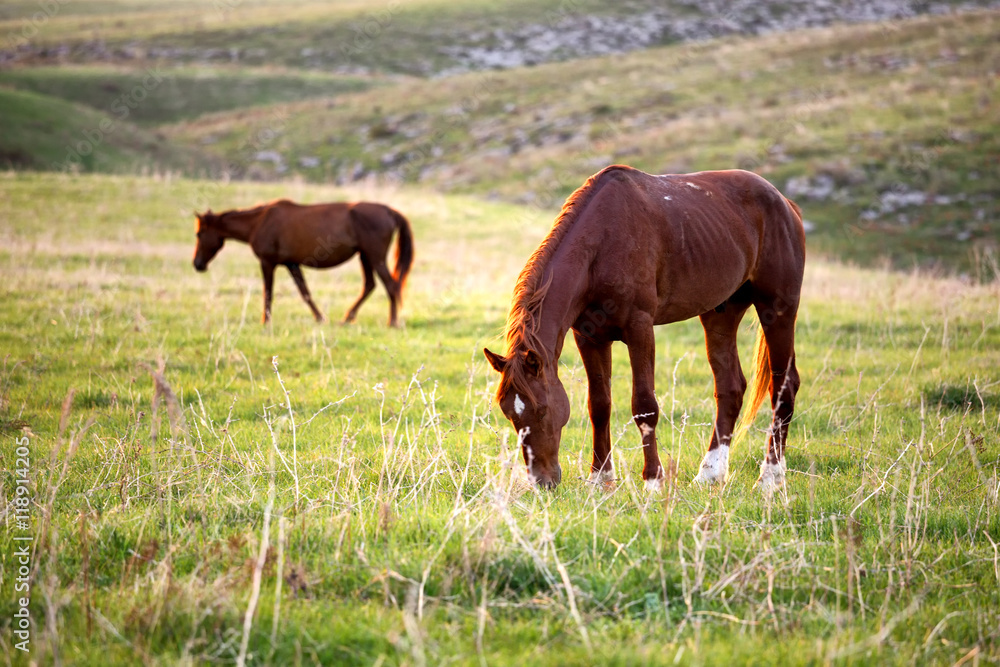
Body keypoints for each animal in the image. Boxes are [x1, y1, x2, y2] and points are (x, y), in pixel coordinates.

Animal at [193, 200, 412, 328]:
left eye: (199, 233)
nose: (197, 264)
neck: (259, 222)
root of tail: (389, 211)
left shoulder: (267, 263)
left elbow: (268, 293)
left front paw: (266, 321)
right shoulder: (292, 264)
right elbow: (304, 292)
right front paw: (320, 318)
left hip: (374, 257)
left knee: (390, 285)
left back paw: (392, 322)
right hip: (365, 256)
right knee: (370, 285)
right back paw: (347, 318)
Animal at [484, 164, 804, 494]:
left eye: (542, 410)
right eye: (509, 414)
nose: (542, 482)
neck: (601, 244)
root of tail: (784, 203)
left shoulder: (640, 329)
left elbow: (644, 406)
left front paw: (653, 480)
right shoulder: (589, 337)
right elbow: (599, 405)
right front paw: (600, 477)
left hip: (777, 310)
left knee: (783, 385)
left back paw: (770, 477)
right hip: (721, 314)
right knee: (730, 387)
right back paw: (710, 473)